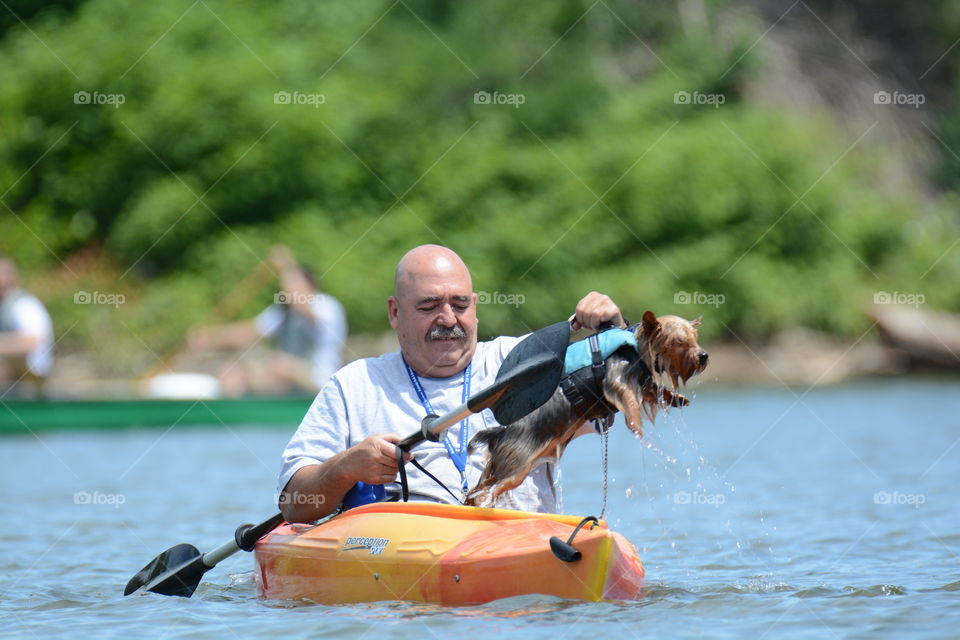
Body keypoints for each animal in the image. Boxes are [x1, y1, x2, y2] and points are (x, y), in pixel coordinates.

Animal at [464, 312, 704, 508]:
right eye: (679, 341)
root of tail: (497, 434)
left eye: (695, 338)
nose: (704, 356)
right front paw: (636, 425)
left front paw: (676, 398)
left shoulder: (642, 380)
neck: (635, 346)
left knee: (478, 488)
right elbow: (630, 401)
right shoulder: (616, 378)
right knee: (489, 489)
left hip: (502, 466)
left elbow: (653, 391)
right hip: (517, 465)